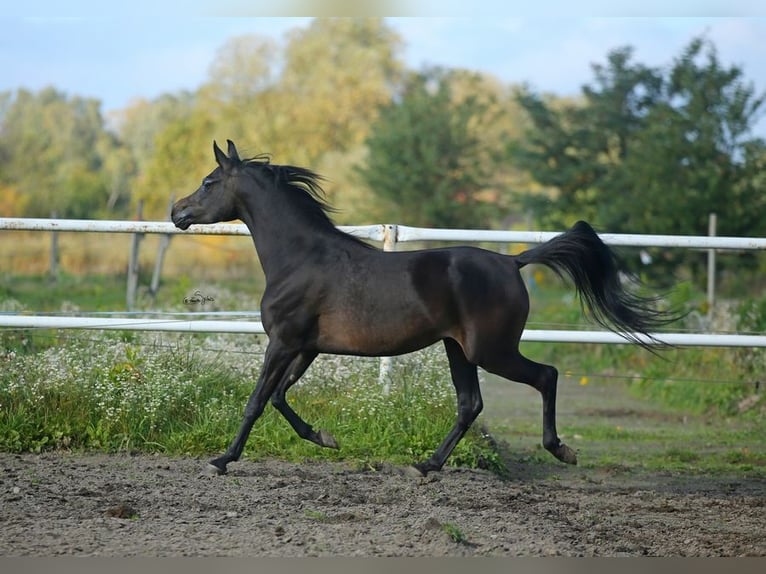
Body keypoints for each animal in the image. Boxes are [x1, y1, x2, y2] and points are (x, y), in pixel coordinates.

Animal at [171, 140, 678, 477]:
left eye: (208, 182)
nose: (176, 212)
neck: (301, 258)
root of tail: (513, 261)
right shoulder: (306, 346)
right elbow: (278, 397)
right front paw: (326, 438)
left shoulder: (283, 341)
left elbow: (257, 400)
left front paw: (222, 460)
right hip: (459, 350)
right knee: (470, 404)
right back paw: (427, 465)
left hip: (491, 351)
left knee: (545, 376)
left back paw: (560, 450)